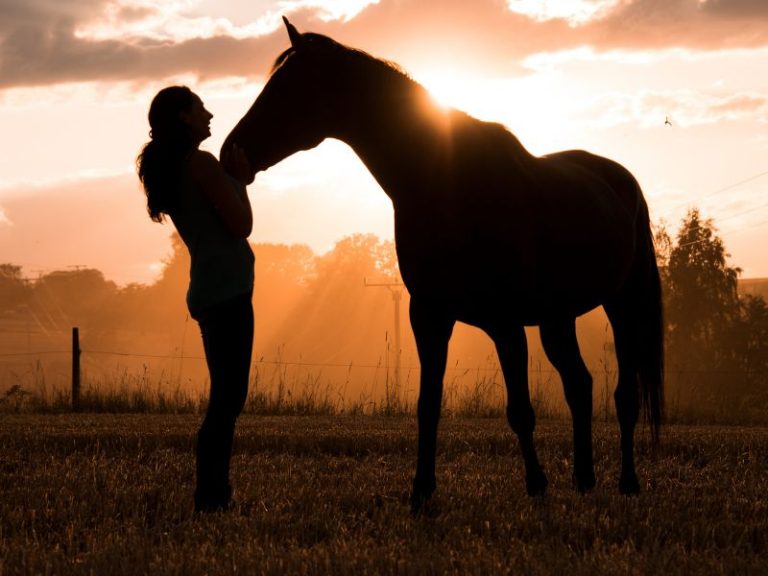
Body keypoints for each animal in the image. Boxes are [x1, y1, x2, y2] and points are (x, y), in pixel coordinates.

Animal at [223, 17, 664, 514]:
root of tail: (620, 180)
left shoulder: (505, 323)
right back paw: (584, 478)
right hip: (558, 319)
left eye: (286, 88)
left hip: (623, 306)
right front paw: (421, 491)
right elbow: (427, 404)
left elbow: (520, 410)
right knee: (580, 386)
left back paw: (627, 481)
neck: (448, 184)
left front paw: (536, 484)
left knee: (624, 394)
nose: (229, 151)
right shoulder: (429, 315)